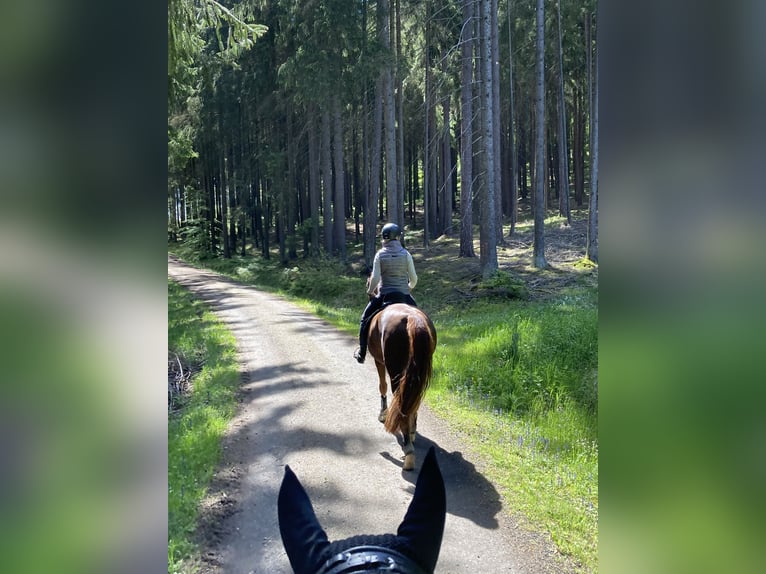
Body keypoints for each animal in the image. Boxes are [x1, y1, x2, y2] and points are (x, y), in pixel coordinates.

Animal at [368, 304, 438, 470]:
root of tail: (413, 318)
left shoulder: (378, 361)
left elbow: (382, 385)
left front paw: (383, 413)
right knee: (413, 401)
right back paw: (411, 434)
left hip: (396, 371)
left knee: (402, 404)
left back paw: (408, 452)